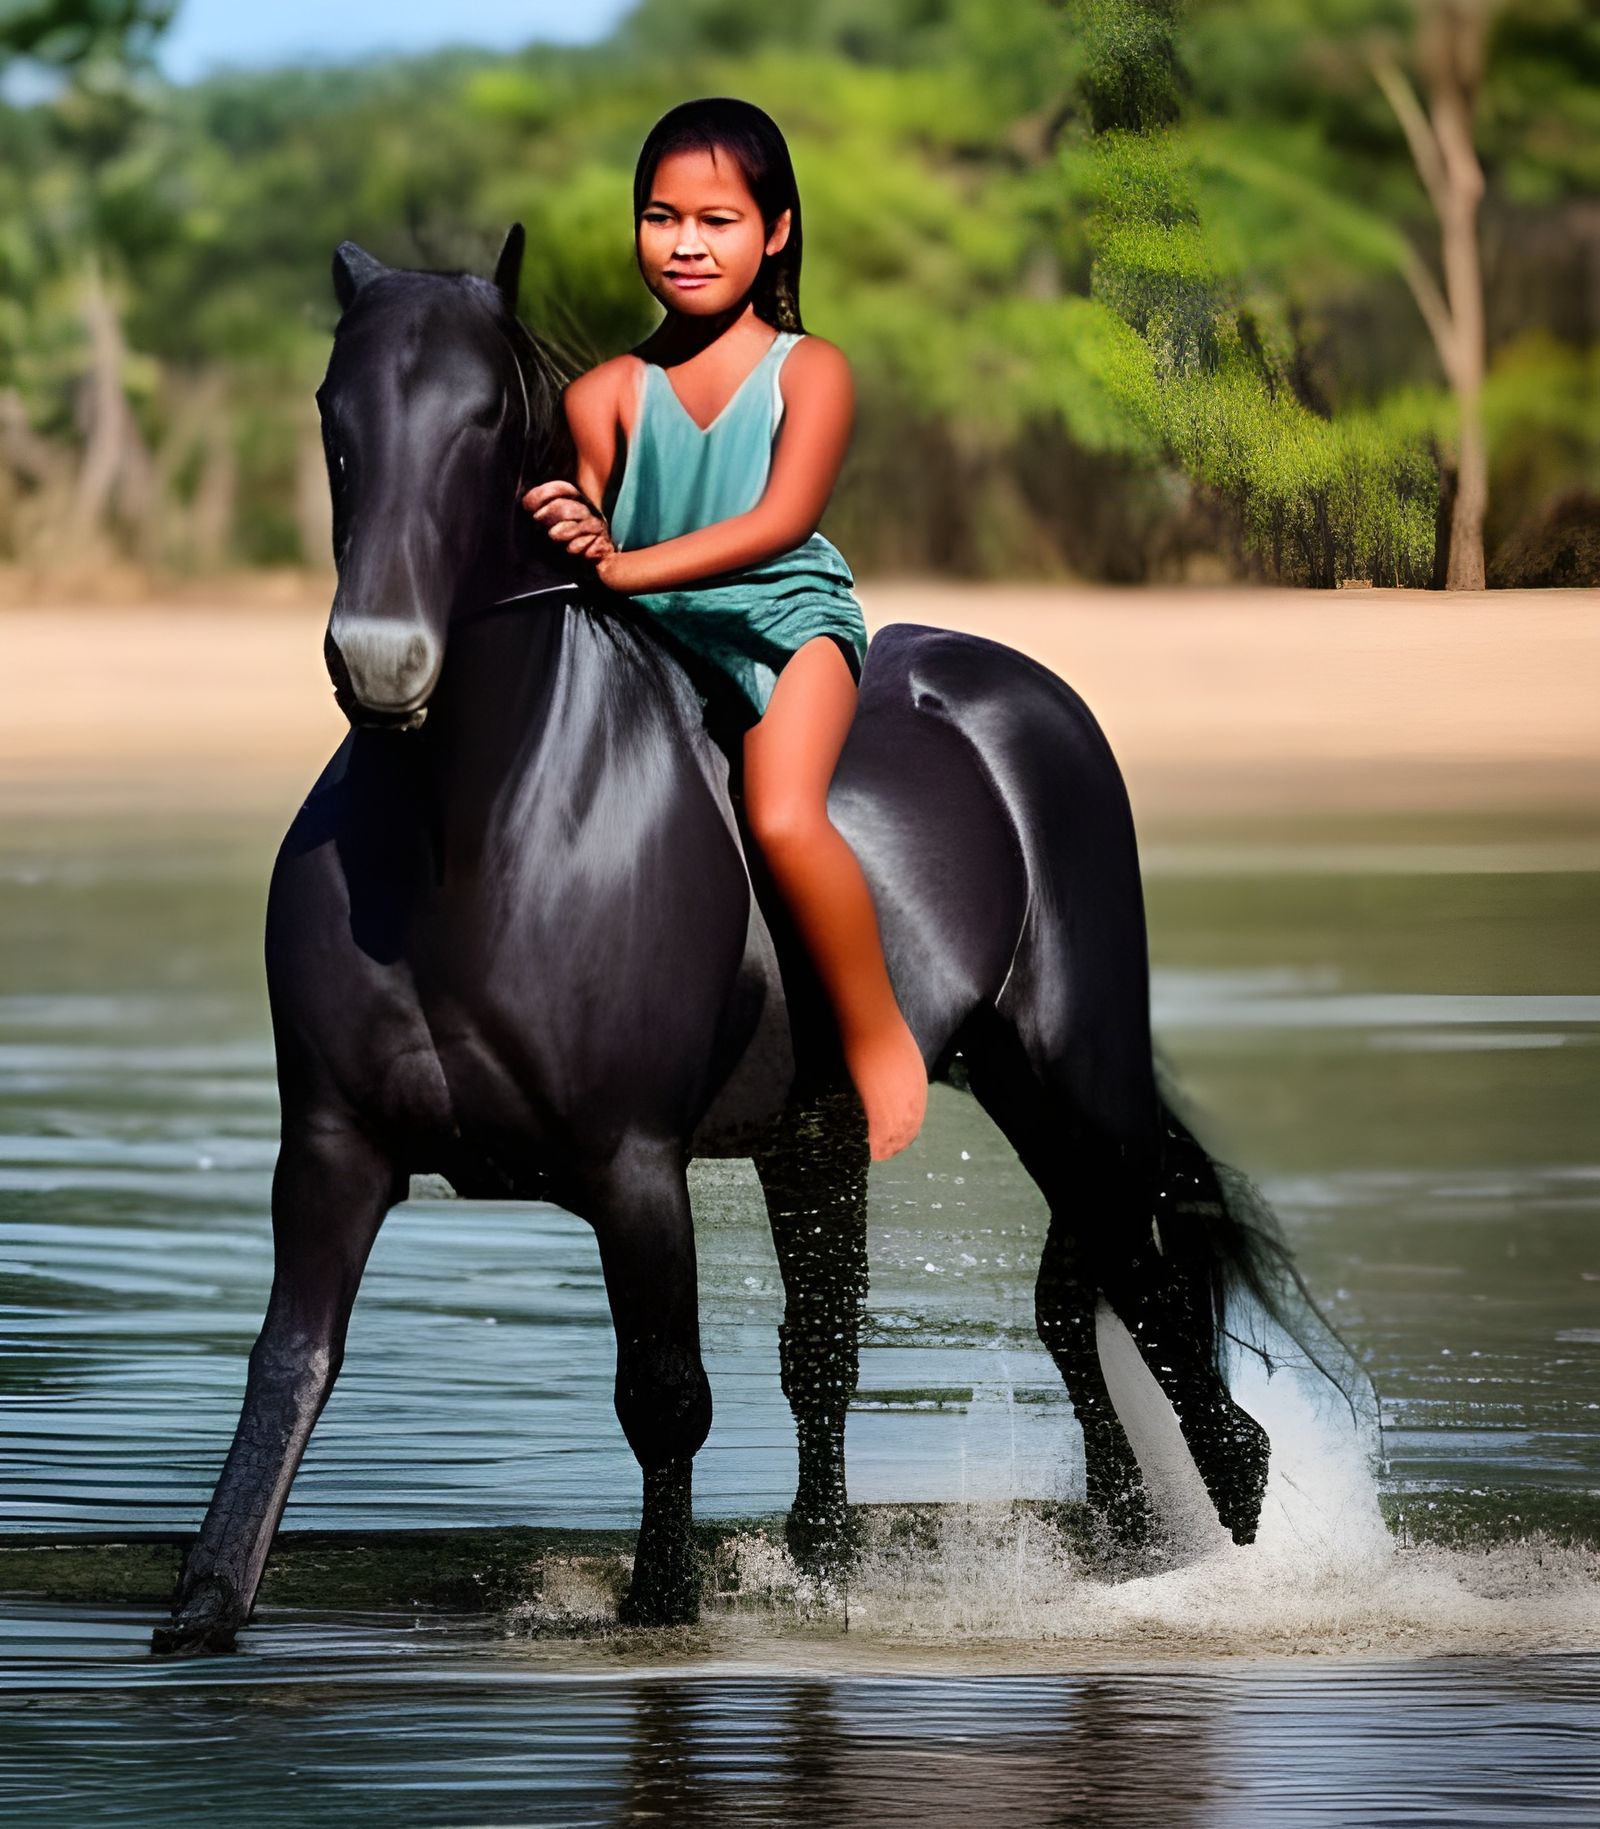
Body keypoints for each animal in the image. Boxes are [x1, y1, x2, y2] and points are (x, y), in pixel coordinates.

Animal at [152, 226, 1290, 1655]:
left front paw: (661, 1605)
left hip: (1072, 1092)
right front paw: (200, 1607)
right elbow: (286, 1375)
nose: (381, 660)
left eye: (484, 420)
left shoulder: (633, 1166)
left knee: (1166, 1342)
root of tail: (1019, 694)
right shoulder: (330, 1155)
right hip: (833, 1137)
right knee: (903, 1349)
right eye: (331, 411)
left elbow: (664, 1397)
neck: (459, 841)